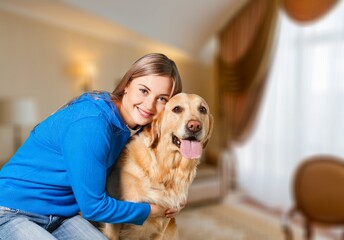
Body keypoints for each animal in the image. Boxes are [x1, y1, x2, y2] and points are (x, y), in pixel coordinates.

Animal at [103, 93, 214, 239]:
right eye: (177, 109)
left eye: (202, 110)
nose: (194, 126)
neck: (166, 170)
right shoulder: (114, 220)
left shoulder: (162, 226)